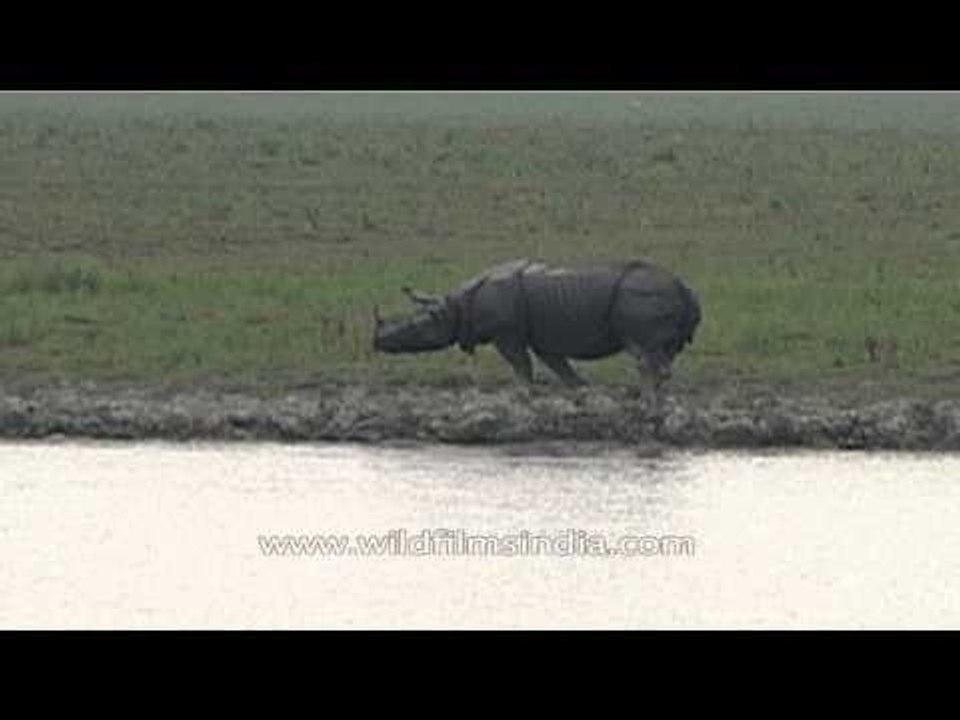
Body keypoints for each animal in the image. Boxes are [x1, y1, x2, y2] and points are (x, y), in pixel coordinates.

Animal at [372, 258, 701, 392]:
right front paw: (580, 389)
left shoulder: (506, 333)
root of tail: (684, 288)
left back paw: (647, 398)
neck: (456, 306)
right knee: (665, 352)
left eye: (417, 328)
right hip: (664, 296)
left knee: (642, 349)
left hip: (641, 296)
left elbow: (521, 365)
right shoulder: (544, 337)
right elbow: (559, 366)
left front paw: (524, 391)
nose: (377, 343)